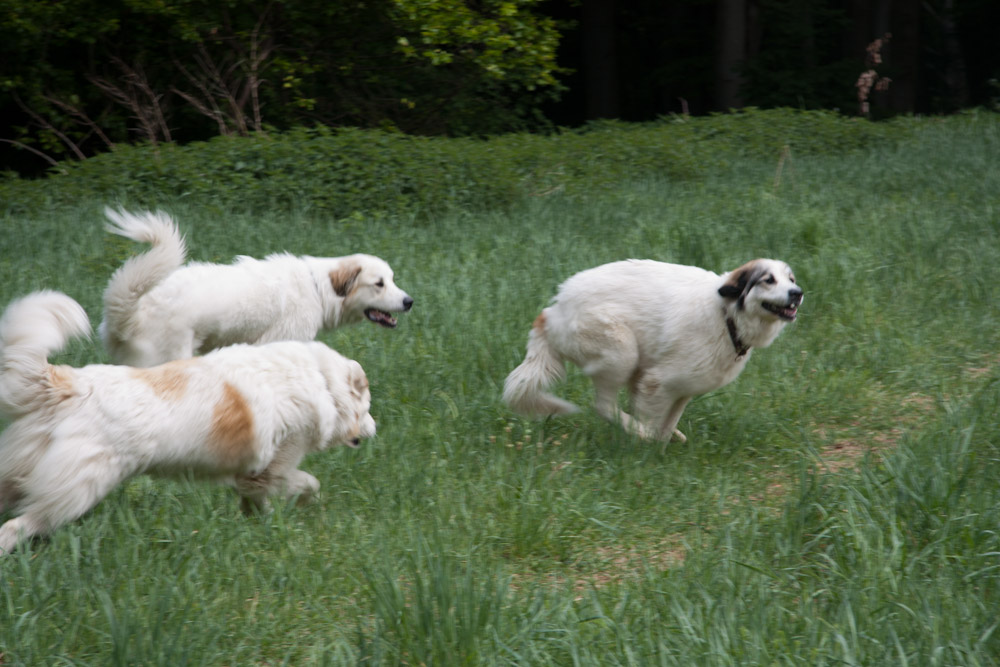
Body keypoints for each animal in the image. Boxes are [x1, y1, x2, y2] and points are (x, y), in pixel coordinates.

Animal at [0, 290, 376, 556]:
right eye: (368, 408)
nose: (374, 431)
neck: (323, 381)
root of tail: (71, 384)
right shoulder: (274, 468)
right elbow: (309, 483)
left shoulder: (251, 478)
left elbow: (255, 502)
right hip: (75, 493)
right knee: (18, 526)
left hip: (17, 472)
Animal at [504, 260, 800, 444]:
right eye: (768, 280)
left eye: (791, 279)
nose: (797, 293)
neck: (726, 314)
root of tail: (552, 311)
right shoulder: (657, 381)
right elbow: (654, 423)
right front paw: (647, 443)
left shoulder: (681, 389)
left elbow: (668, 422)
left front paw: (665, 438)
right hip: (621, 351)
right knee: (603, 406)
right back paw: (635, 430)